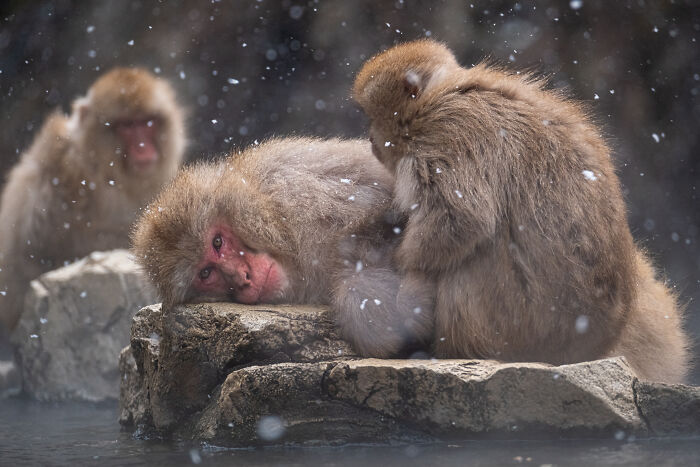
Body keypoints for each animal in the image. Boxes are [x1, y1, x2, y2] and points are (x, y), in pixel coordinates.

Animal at [0, 68, 186, 334]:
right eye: (127, 125)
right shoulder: (61, 175)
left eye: (147, 123)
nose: (143, 147)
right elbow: (48, 248)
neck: (103, 168)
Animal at [352, 39, 690, 383]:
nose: (371, 139)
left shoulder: (448, 128)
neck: (444, 92)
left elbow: (461, 219)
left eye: (371, 116)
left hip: (511, 319)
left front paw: (401, 262)